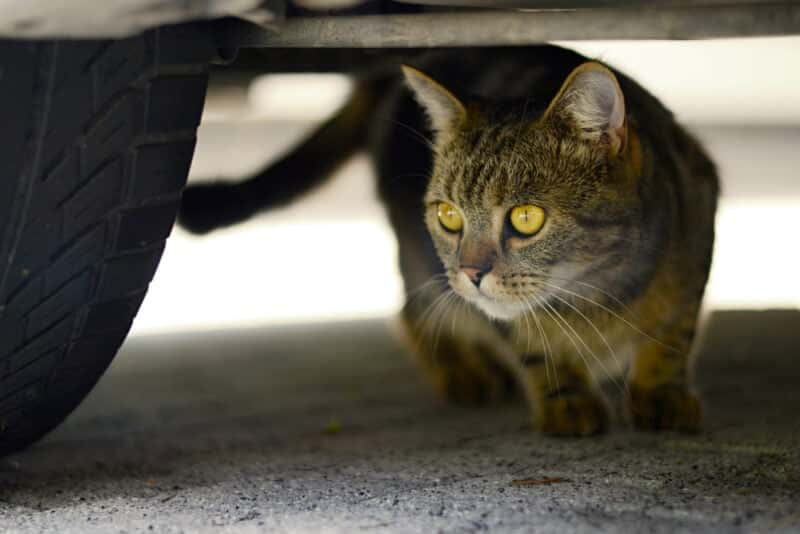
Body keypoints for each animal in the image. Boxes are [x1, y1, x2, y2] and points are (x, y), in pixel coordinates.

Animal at [180, 46, 720, 438]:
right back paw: (463, 370)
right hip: (418, 259)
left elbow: (674, 331)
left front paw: (661, 392)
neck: (593, 296)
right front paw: (565, 399)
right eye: (449, 216)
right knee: (411, 312)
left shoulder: (698, 220)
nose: (471, 272)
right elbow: (534, 348)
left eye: (526, 218)